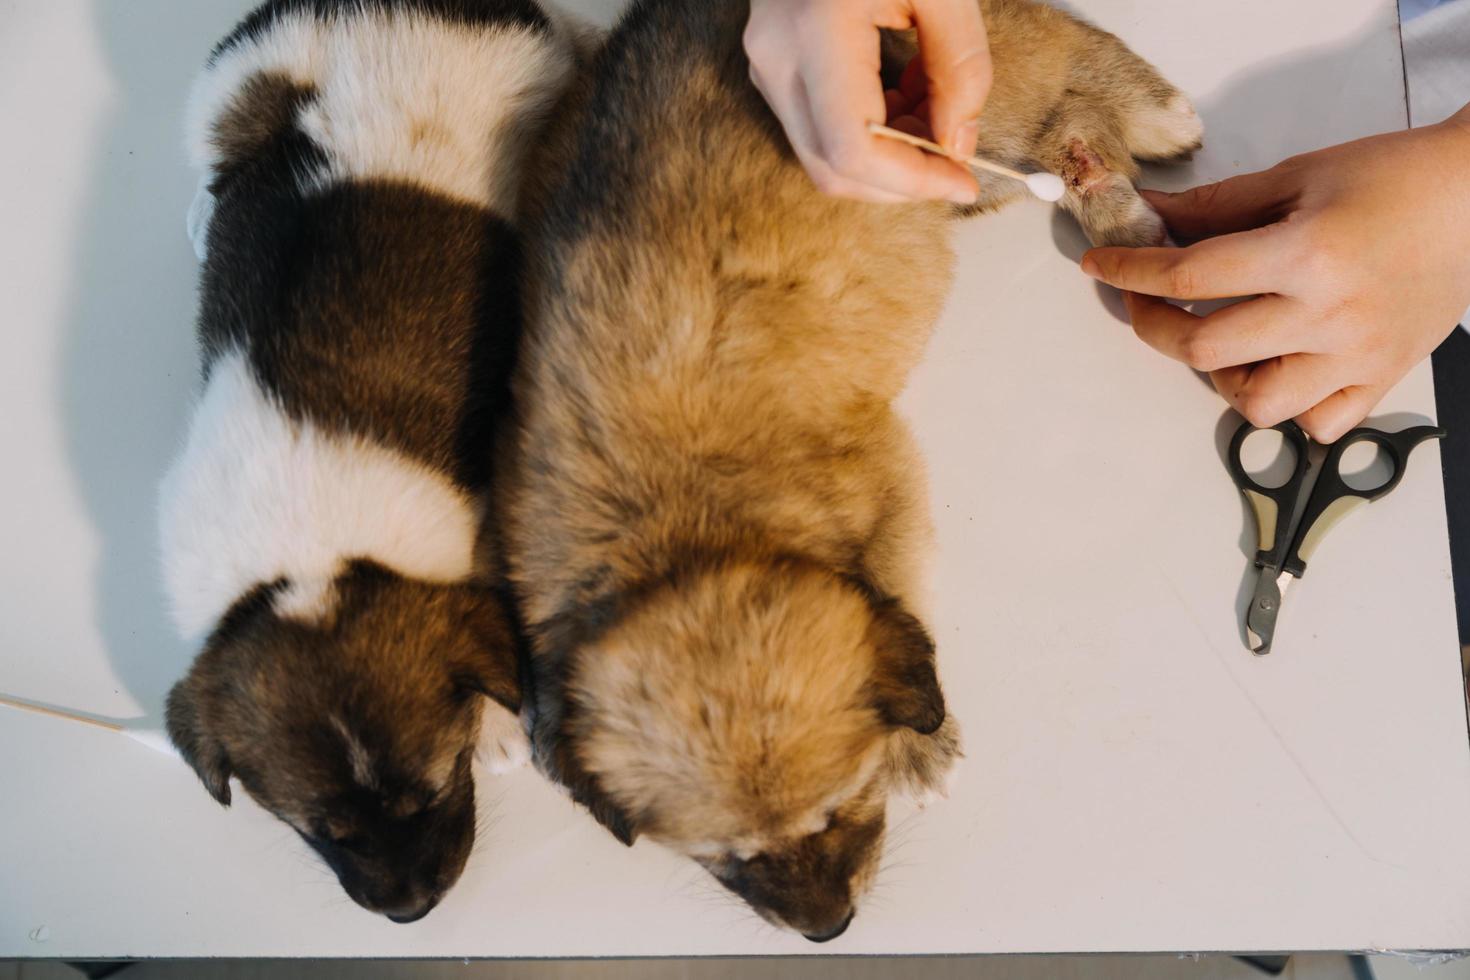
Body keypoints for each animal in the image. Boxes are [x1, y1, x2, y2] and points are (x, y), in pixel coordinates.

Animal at [158, 0, 576, 922]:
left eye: (436, 787)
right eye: (323, 830)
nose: (411, 911)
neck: (306, 555)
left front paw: (500, 724)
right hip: (235, 78)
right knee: (220, 145)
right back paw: (204, 212)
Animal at [505, 0, 1205, 940]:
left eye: (842, 807)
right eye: (728, 860)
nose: (828, 929)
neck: (678, 534)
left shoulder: (890, 487)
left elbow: (901, 599)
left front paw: (923, 743)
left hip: (975, 103)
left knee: (1062, 61)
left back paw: (1149, 137)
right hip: (952, 181)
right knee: (1068, 134)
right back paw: (1112, 196)